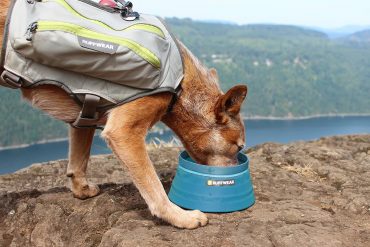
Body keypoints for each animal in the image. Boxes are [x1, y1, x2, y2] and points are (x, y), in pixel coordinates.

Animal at [0, 0, 249, 230]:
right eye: (238, 146)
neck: (179, 82)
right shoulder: (124, 131)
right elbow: (153, 185)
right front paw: (179, 216)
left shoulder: (85, 116)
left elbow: (79, 160)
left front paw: (81, 190)